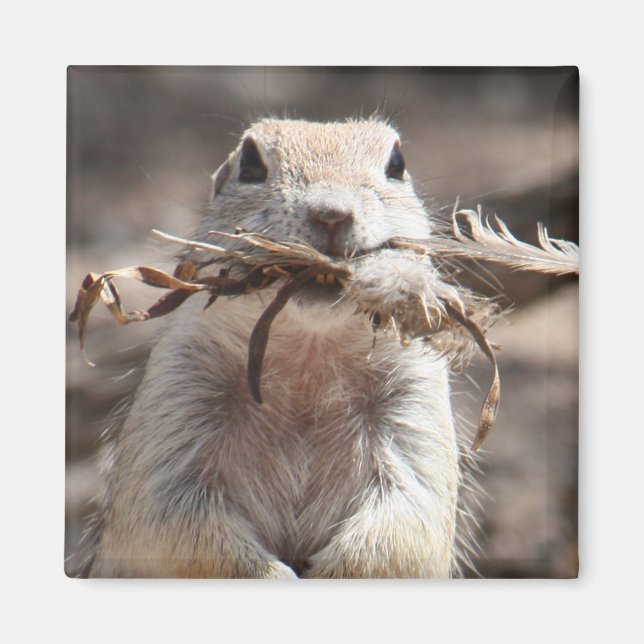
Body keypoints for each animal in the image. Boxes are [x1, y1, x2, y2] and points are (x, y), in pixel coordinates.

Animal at [84, 118, 473, 578]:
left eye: (397, 163)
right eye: (250, 164)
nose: (331, 212)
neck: (309, 357)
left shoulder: (415, 403)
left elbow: (405, 525)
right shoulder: (178, 394)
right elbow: (174, 523)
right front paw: (274, 575)